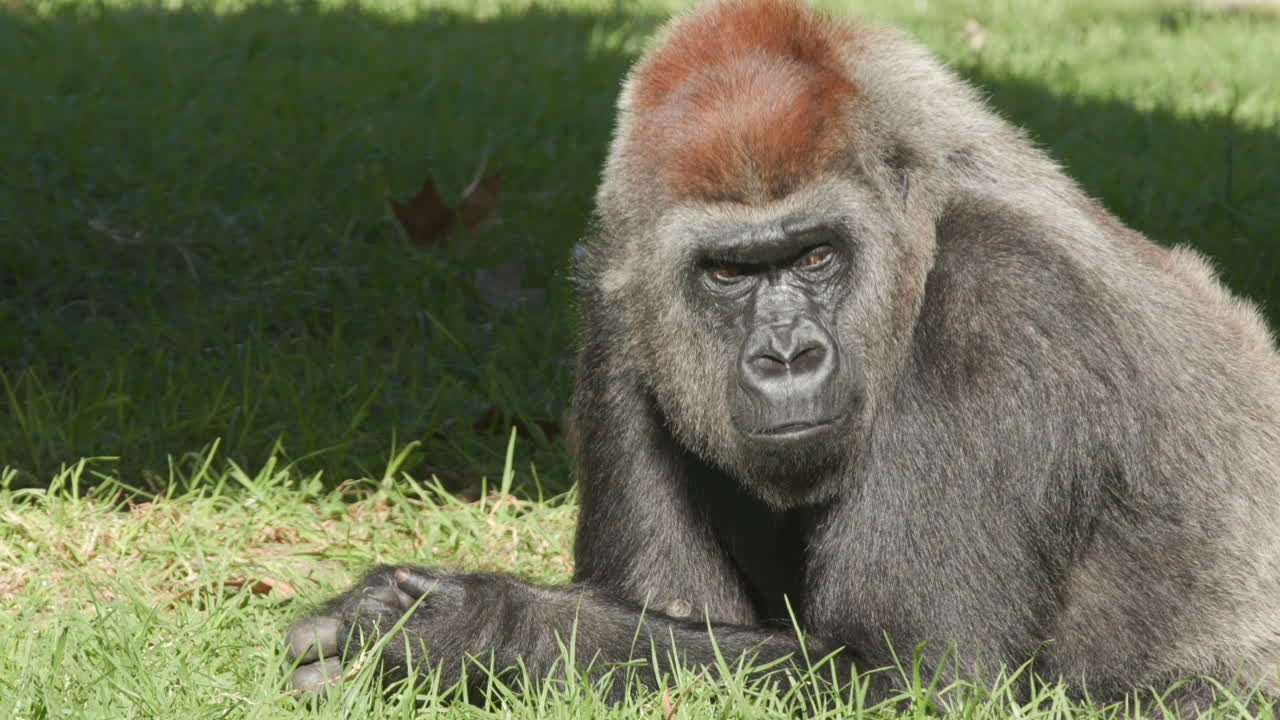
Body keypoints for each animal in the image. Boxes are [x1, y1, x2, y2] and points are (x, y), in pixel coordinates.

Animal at [284, 0, 1280, 711]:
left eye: (814, 257)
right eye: (728, 272)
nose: (790, 356)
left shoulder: (1004, 301)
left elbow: (915, 675)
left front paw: (476, 629)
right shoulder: (615, 283)